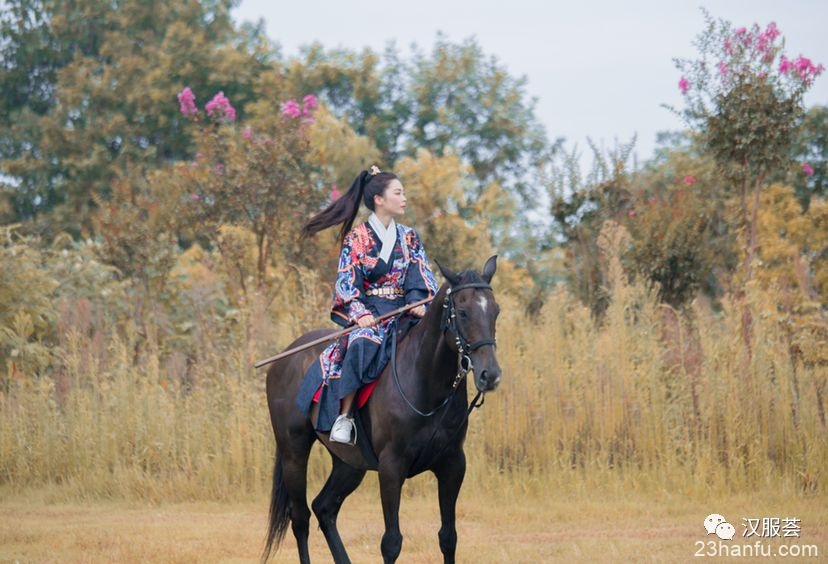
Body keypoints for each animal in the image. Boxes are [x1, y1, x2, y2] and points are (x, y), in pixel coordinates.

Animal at [262, 256, 502, 564]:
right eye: (462, 312)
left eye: (495, 311)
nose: (490, 375)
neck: (426, 384)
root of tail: (282, 360)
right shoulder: (391, 466)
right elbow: (391, 542)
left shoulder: (453, 464)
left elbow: (448, 537)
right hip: (294, 449)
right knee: (300, 518)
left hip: (349, 462)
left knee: (324, 508)